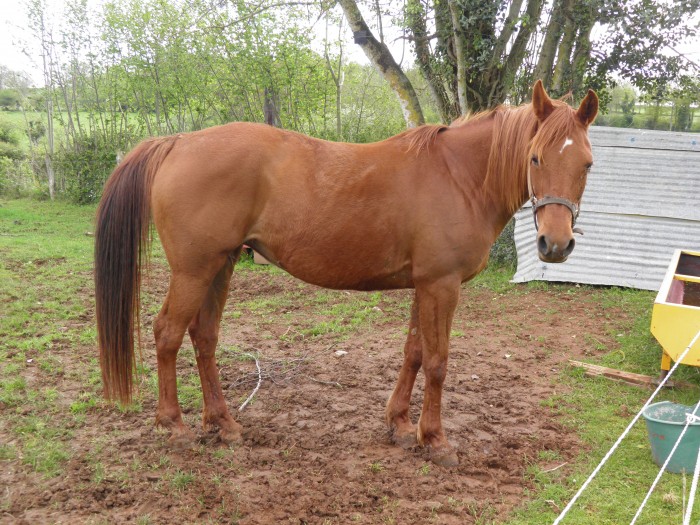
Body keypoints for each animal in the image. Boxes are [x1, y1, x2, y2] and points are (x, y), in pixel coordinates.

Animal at [95, 80, 600, 464]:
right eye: (535, 158)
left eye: (587, 164)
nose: (555, 245)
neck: (459, 176)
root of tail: (179, 142)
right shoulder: (442, 285)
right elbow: (437, 362)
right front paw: (435, 440)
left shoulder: (425, 285)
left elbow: (414, 353)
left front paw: (400, 425)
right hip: (194, 271)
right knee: (167, 333)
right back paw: (174, 426)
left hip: (221, 266)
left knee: (204, 337)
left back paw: (223, 424)